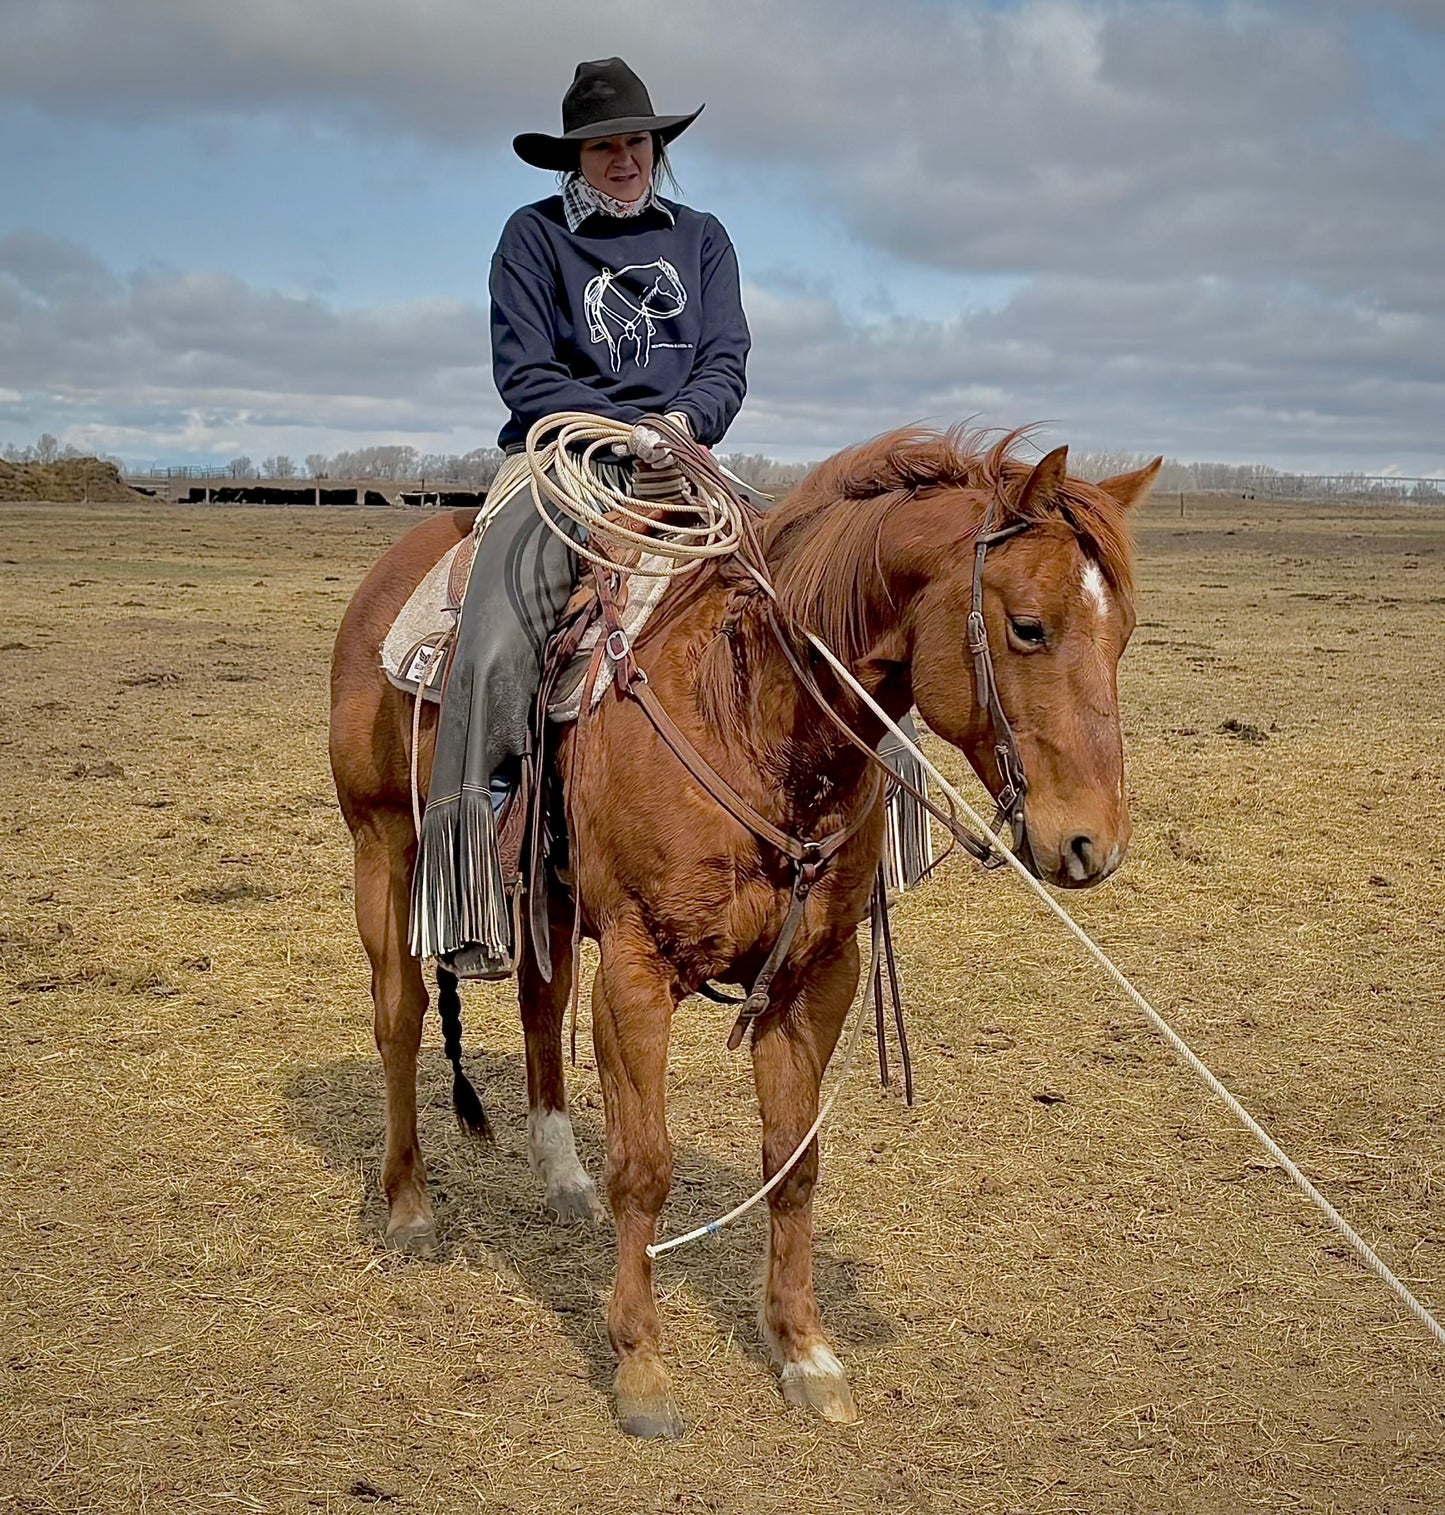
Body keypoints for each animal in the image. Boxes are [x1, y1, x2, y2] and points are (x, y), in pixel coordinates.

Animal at [328, 427, 1160, 1438]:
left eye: (1121, 634)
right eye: (1029, 626)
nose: (1091, 844)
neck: (750, 718)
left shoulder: (816, 976)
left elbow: (793, 1164)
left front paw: (805, 1350)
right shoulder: (636, 971)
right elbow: (645, 1166)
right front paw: (641, 1367)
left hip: (545, 894)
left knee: (538, 1003)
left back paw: (561, 1178)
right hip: (385, 848)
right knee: (400, 1017)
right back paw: (409, 1206)